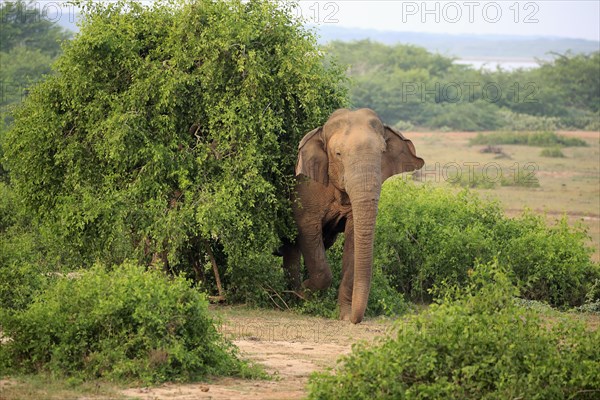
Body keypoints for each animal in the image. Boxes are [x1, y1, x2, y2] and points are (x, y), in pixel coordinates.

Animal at [282, 108, 426, 324]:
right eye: (338, 154)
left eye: (382, 153)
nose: (355, 319)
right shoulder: (303, 188)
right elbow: (307, 231)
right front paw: (304, 293)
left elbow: (353, 240)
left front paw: (343, 315)